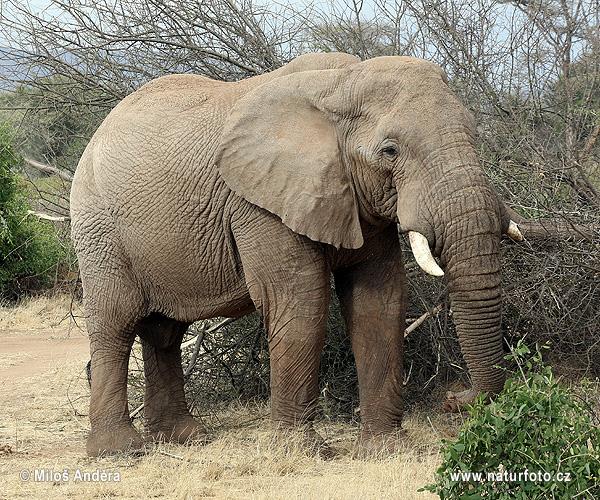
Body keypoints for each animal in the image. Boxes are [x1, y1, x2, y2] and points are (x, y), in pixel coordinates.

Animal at [70, 51, 520, 458]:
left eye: (475, 134)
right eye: (390, 150)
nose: (454, 399)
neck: (342, 82)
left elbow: (379, 301)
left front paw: (386, 450)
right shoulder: (259, 203)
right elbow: (301, 300)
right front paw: (301, 451)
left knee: (165, 333)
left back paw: (183, 438)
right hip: (98, 229)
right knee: (115, 324)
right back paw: (118, 451)